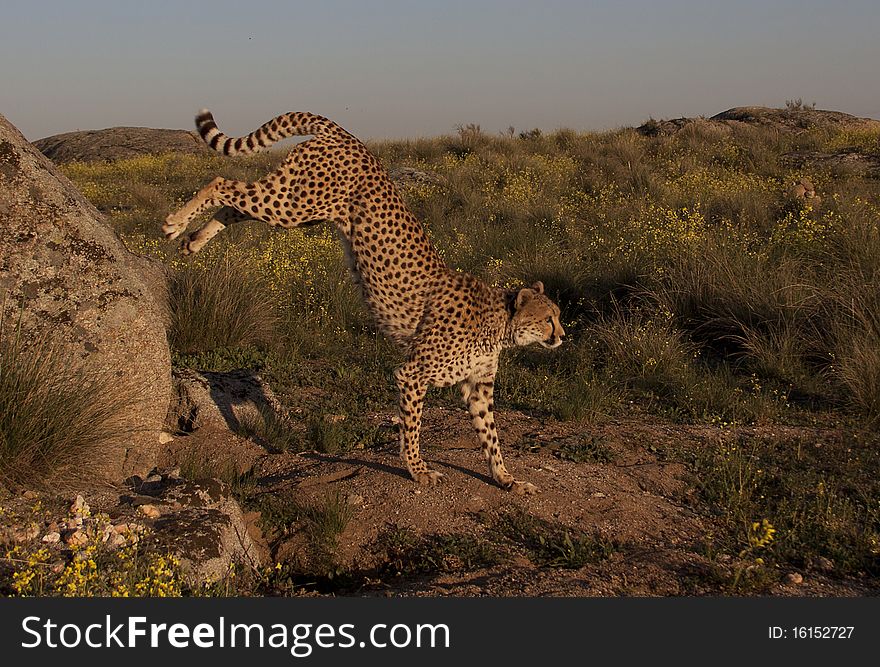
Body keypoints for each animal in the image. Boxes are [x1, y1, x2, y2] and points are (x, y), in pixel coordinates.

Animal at [164, 111, 564, 496]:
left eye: (558, 316)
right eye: (548, 318)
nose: (562, 336)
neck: (499, 322)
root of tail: (350, 138)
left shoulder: (478, 387)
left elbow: (491, 437)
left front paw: (506, 479)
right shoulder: (412, 374)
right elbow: (412, 427)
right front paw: (418, 470)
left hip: (297, 206)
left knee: (234, 206)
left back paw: (192, 241)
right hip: (296, 202)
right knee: (221, 182)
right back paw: (173, 222)